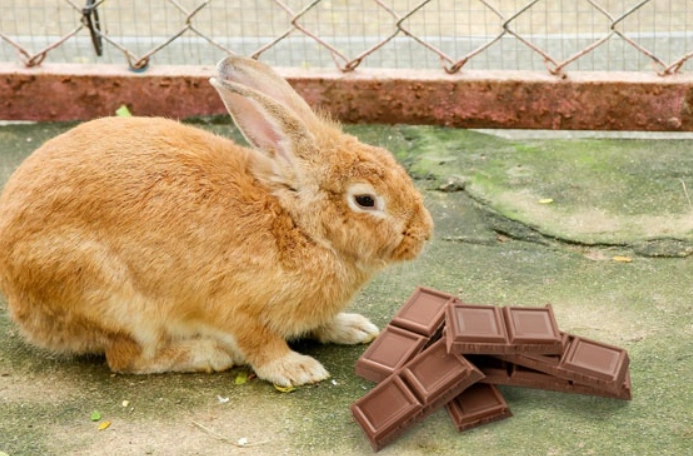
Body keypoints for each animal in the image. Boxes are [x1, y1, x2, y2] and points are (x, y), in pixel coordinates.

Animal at [0, 56, 433, 387]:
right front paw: (295, 369)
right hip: (113, 299)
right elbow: (258, 341)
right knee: (126, 358)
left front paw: (352, 328)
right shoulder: (234, 307)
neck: (300, 226)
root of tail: (19, 300)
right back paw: (209, 355)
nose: (424, 234)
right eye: (365, 200)